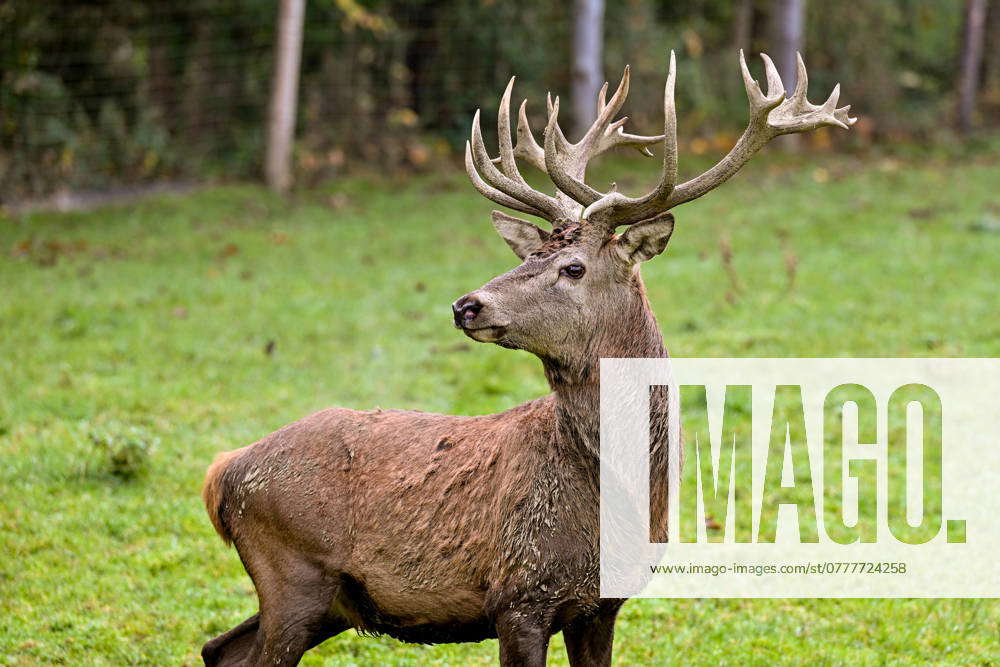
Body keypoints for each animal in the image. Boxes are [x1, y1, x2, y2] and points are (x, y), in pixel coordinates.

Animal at [200, 51, 853, 666]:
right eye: (530, 253)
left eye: (573, 266)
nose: (466, 304)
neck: (614, 505)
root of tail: (223, 473)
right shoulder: (518, 596)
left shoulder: (601, 605)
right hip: (293, 574)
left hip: (326, 600)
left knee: (218, 648)